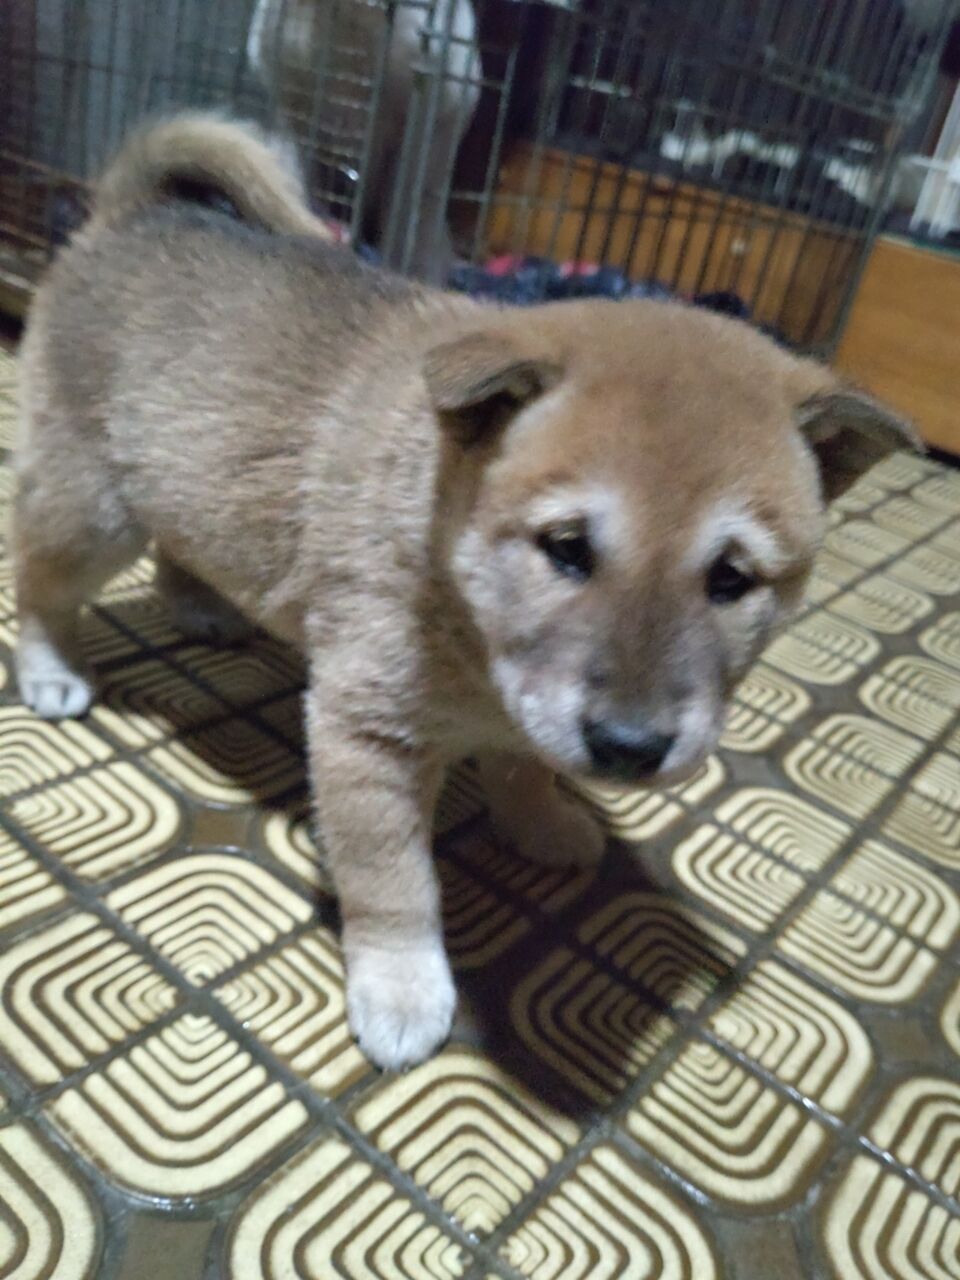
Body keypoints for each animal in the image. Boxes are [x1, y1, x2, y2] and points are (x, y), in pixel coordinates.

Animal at [12, 115, 916, 1070]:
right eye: (567, 549)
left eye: (731, 578)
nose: (630, 749)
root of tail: (124, 215)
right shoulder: (367, 738)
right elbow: (397, 885)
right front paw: (402, 988)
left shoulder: (527, 709)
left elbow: (526, 766)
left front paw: (543, 820)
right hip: (90, 512)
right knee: (37, 579)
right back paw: (50, 670)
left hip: (184, 484)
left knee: (181, 545)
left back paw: (199, 606)